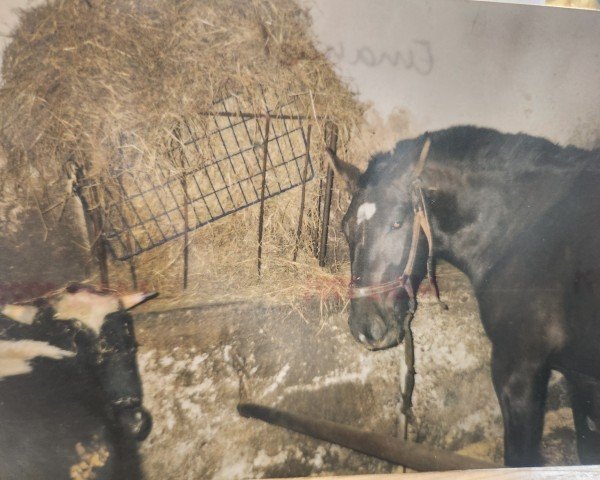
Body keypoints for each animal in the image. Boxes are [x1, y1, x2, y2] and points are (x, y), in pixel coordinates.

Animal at [332, 125, 600, 466]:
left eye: (397, 222)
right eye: (345, 227)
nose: (365, 327)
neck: (528, 228)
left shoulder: (518, 368)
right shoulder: (583, 376)